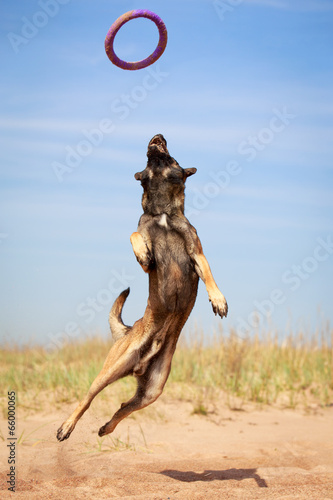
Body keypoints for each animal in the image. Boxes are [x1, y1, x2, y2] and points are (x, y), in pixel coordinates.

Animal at [56, 134, 228, 442]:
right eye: (150, 158)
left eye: (172, 158)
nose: (158, 137)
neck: (162, 212)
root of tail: (129, 331)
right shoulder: (147, 246)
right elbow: (134, 235)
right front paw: (143, 253)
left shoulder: (196, 253)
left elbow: (209, 275)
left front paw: (218, 299)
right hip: (108, 372)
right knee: (86, 400)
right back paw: (67, 426)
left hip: (152, 391)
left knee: (123, 407)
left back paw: (106, 428)